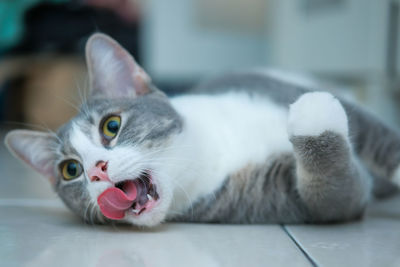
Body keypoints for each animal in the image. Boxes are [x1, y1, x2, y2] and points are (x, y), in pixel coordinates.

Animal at [5, 32, 400, 227]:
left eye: (111, 125)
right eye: (70, 170)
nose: (96, 171)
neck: (214, 149)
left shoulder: (267, 89)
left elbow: (377, 136)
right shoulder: (280, 198)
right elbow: (335, 191)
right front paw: (313, 112)